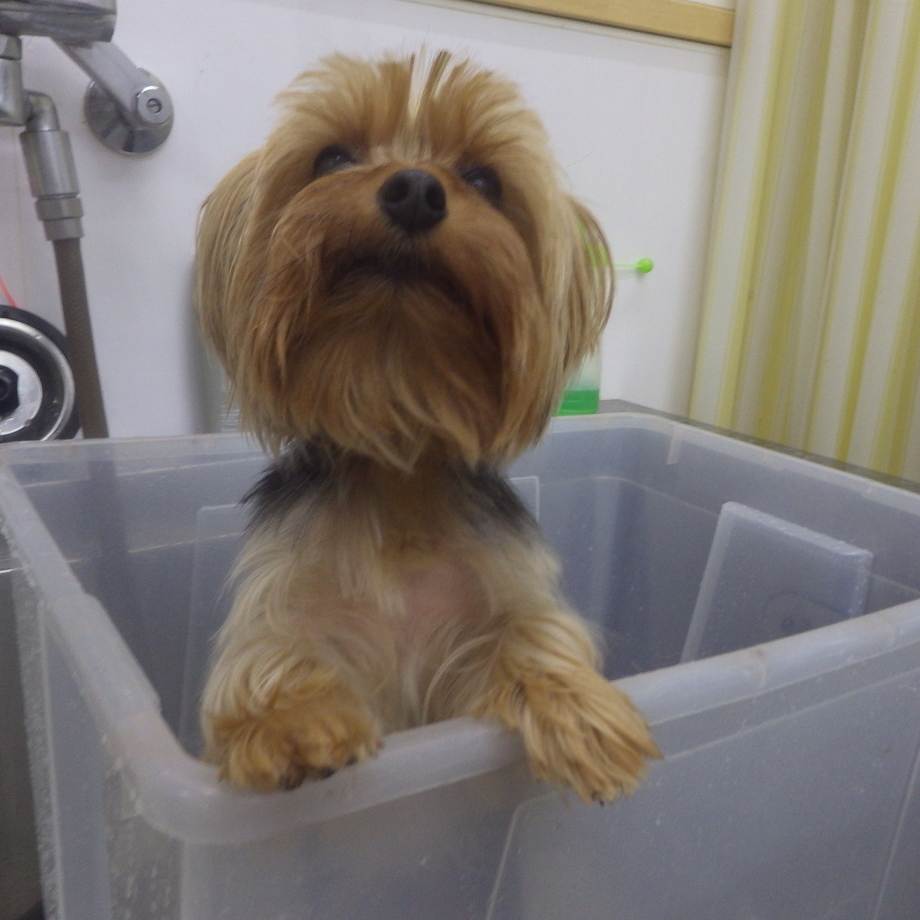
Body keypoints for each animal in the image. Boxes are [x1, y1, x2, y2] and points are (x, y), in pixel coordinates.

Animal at [195, 50, 660, 803]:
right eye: (331, 159)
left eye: (484, 180)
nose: (414, 189)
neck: (398, 464)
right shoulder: (288, 603)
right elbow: (271, 654)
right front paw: (292, 723)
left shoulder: (493, 607)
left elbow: (537, 631)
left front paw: (582, 714)